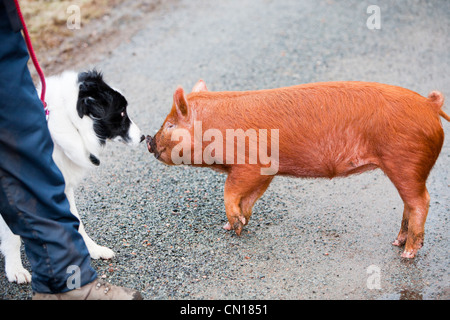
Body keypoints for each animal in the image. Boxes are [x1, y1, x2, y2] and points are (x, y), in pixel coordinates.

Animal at [0, 70, 143, 282]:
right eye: (122, 112)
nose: (143, 137)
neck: (69, 121)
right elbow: (12, 236)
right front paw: (15, 269)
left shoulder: (61, 188)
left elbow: (77, 222)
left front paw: (93, 250)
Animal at [146, 80, 448, 258]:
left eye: (171, 125)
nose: (148, 140)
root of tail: (430, 104)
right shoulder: (268, 171)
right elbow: (249, 199)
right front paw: (234, 225)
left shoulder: (252, 163)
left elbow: (230, 192)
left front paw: (234, 226)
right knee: (409, 203)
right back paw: (397, 243)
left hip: (405, 160)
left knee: (421, 202)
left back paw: (407, 253)